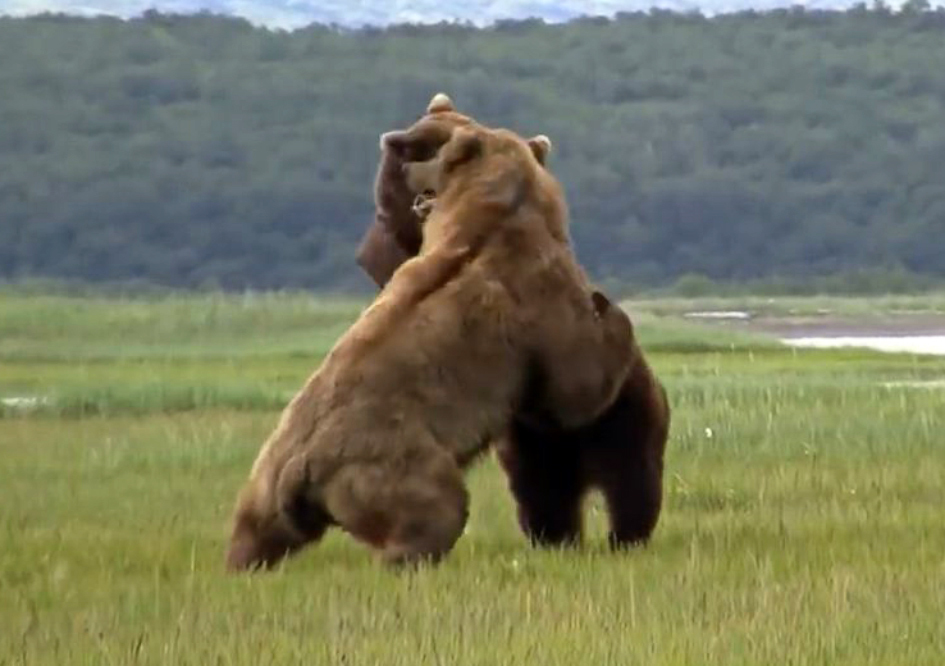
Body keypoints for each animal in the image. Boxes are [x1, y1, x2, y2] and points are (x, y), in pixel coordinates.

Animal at [356, 93, 672, 548]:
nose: (409, 139)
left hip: (625, 413)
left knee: (631, 481)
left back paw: (624, 536)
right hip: (533, 442)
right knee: (545, 495)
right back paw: (558, 538)